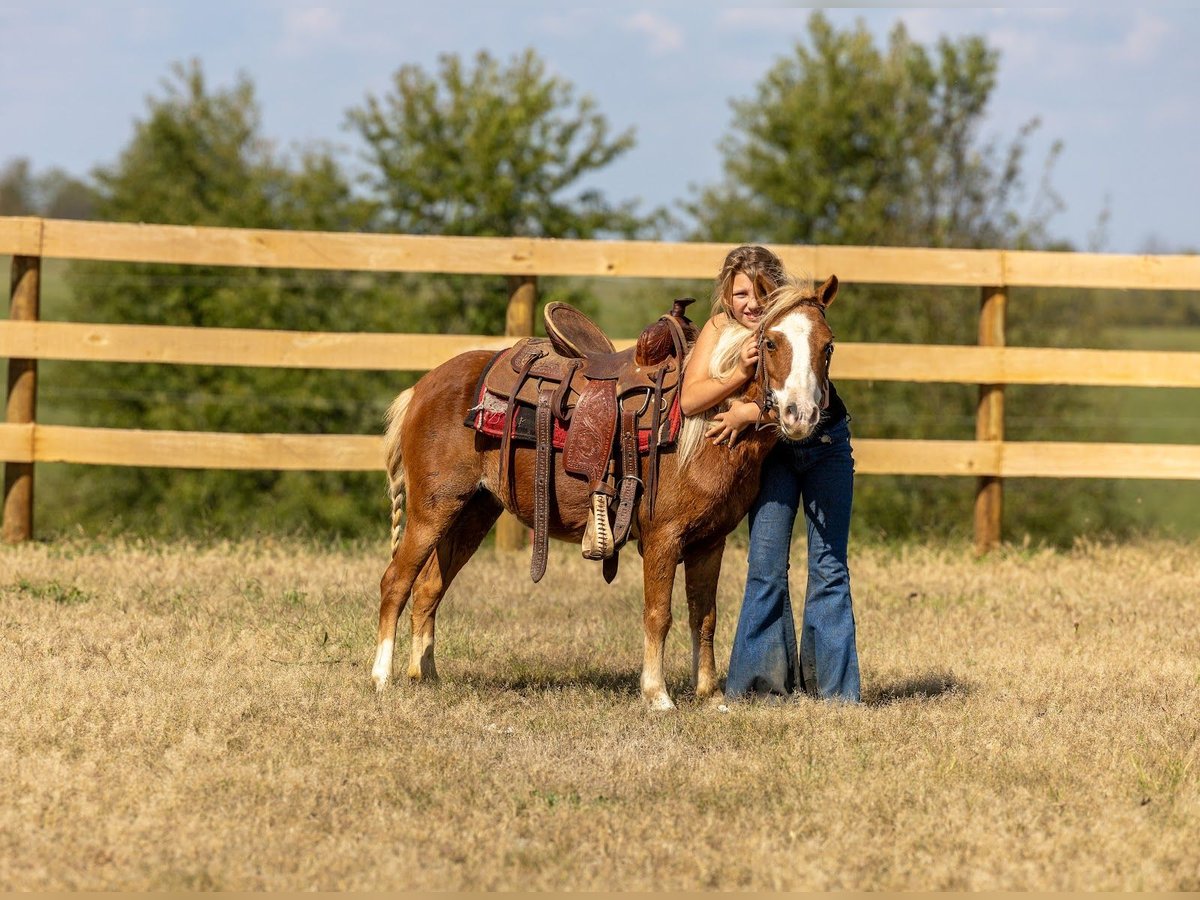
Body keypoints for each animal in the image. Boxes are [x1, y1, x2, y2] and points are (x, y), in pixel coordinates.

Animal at [372, 275, 840, 710]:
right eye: (771, 342)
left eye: (828, 346)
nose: (800, 415)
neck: (701, 427)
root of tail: (424, 387)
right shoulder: (663, 538)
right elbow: (659, 614)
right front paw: (657, 695)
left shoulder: (710, 541)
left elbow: (704, 617)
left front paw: (709, 696)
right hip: (431, 511)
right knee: (396, 582)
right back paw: (381, 677)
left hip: (473, 511)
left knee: (429, 587)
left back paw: (425, 675)